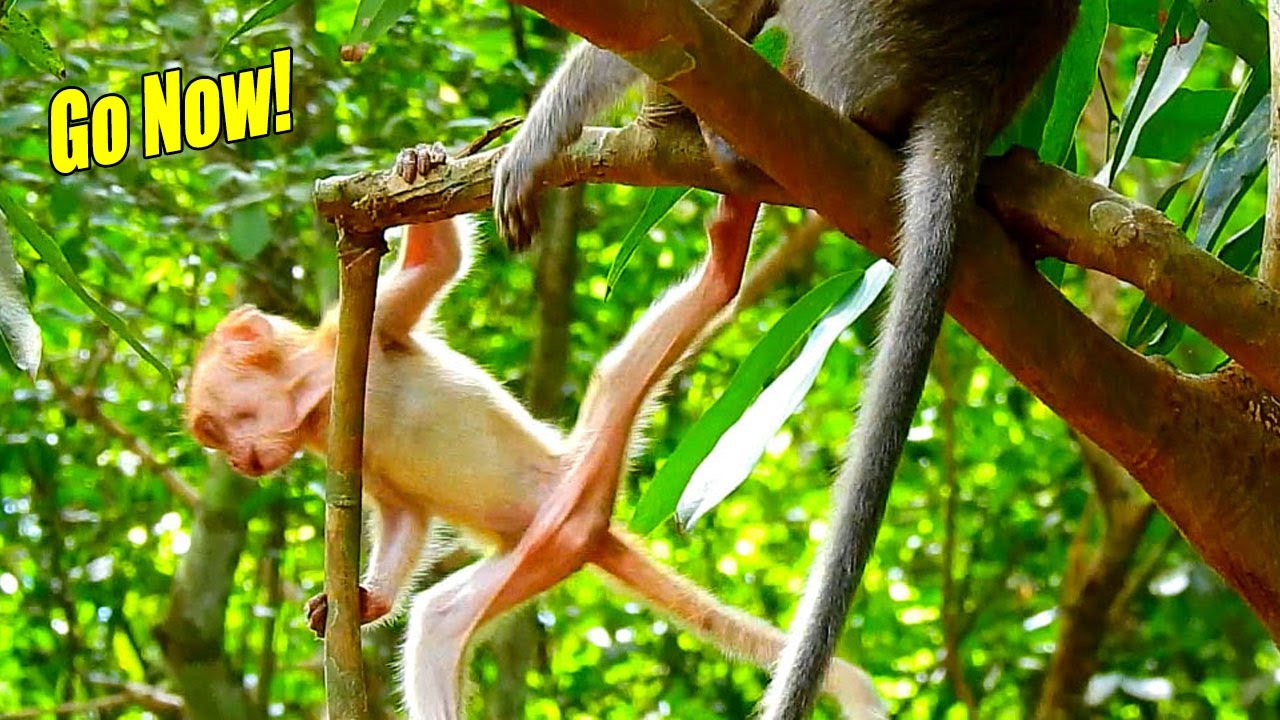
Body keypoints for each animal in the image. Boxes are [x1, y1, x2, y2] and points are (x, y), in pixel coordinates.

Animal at [186, 147, 884, 719]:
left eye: (216, 426)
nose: (240, 461)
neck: (316, 395)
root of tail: (591, 529)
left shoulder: (360, 336)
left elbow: (438, 266)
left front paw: (416, 166)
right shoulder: (338, 445)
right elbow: (405, 514)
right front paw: (365, 601)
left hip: (577, 482)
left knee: (623, 375)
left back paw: (726, 261)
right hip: (540, 553)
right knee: (441, 623)